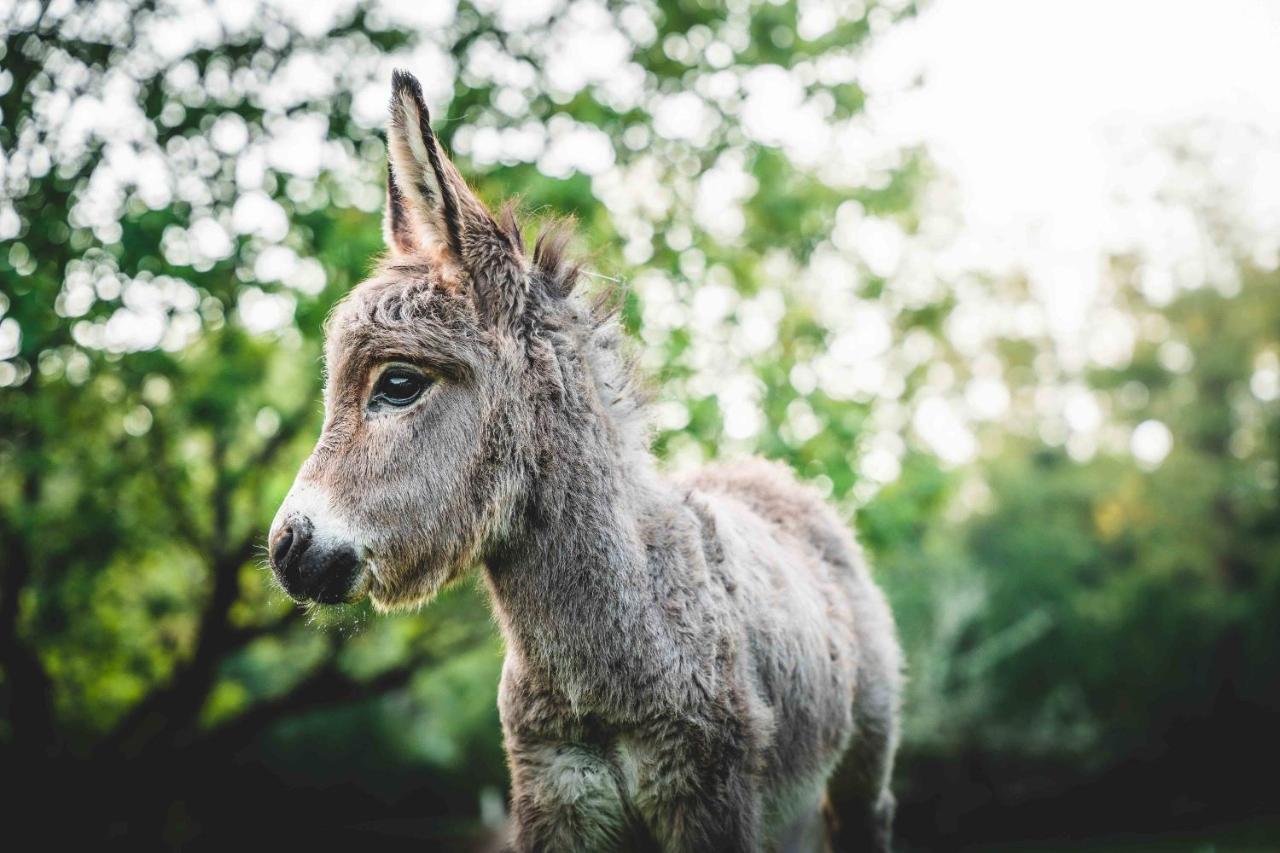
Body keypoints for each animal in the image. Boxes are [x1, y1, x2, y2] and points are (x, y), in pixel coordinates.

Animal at [272, 71, 901, 850]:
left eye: (398, 383)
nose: (283, 548)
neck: (599, 671)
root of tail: (767, 473)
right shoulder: (556, 795)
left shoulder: (711, 799)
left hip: (862, 770)